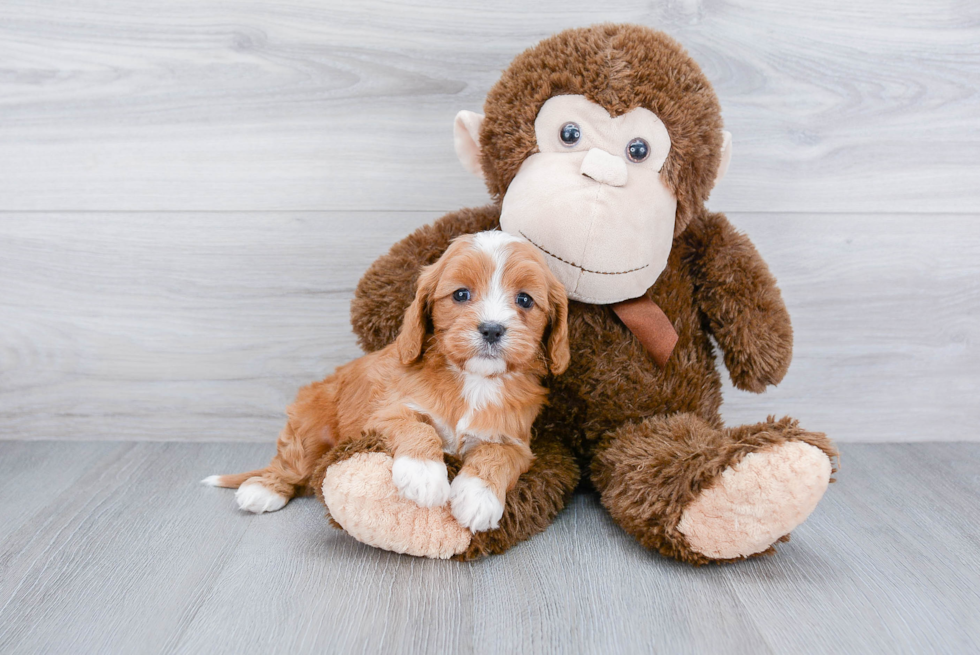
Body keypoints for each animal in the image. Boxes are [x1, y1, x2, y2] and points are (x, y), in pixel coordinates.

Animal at [204, 231, 572, 532]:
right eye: (461, 294)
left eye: (524, 299)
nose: (492, 329)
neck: (473, 379)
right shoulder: (385, 411)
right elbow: (417, 426)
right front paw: (424, 473)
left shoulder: (515, 440)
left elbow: (498, 457)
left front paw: (478, 497)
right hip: (309, 426)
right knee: (291, 463)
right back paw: (264, 488)